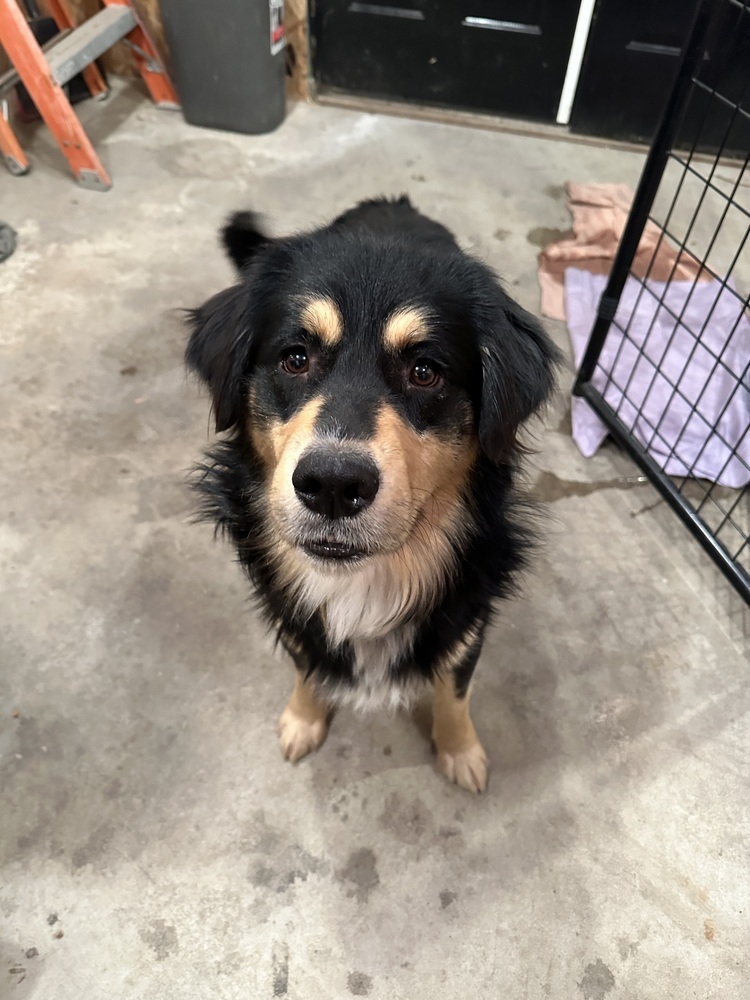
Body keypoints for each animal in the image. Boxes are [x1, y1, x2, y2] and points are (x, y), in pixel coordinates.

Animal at [184, 195, 560, 788]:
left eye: (425, 371)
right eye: (295, 358)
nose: (333, 485)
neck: (366, 583)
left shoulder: (467, 625)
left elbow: (454, 691)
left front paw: (460, 750)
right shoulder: (295, 622)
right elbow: (306, 667)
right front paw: (303, 719)